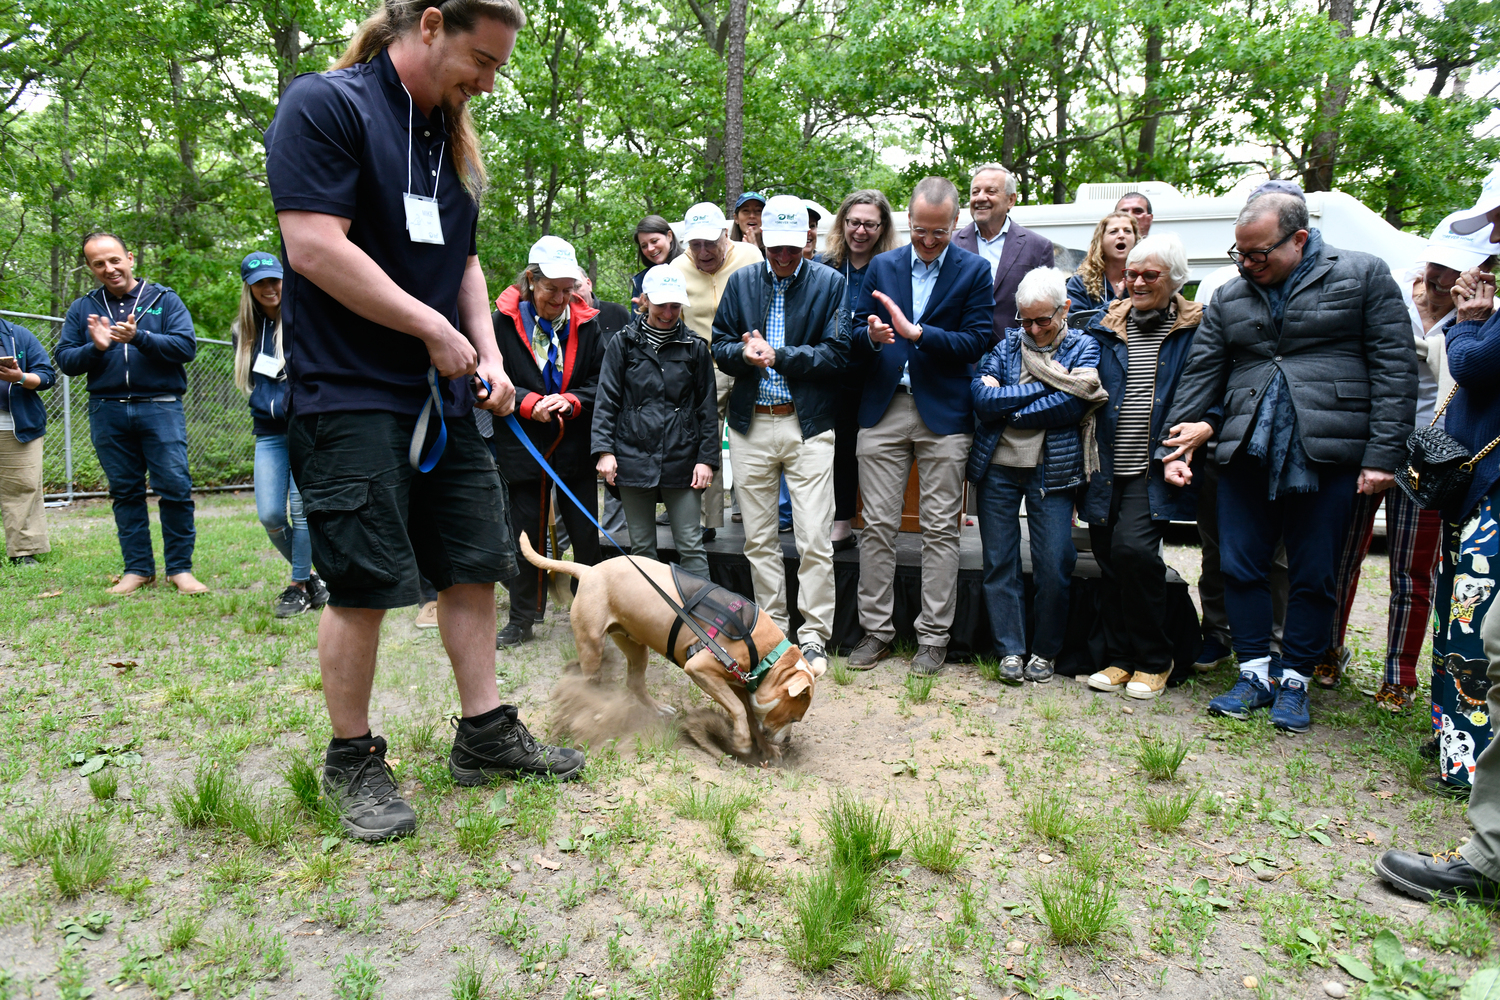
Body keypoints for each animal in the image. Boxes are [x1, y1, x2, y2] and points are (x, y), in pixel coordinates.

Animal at [513, 536, 822, 761]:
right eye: (794, 717)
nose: (788, 739)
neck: (768, 656)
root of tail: (588, 571)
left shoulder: (737, 684)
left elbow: (747, 714)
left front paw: (764, 749)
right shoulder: (701, 670)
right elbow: (737, 709)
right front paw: (744, 742)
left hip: (635, 646)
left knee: (634, 683)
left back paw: (657, 708)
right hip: (592, 645)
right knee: (589, 683)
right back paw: (594, 710)